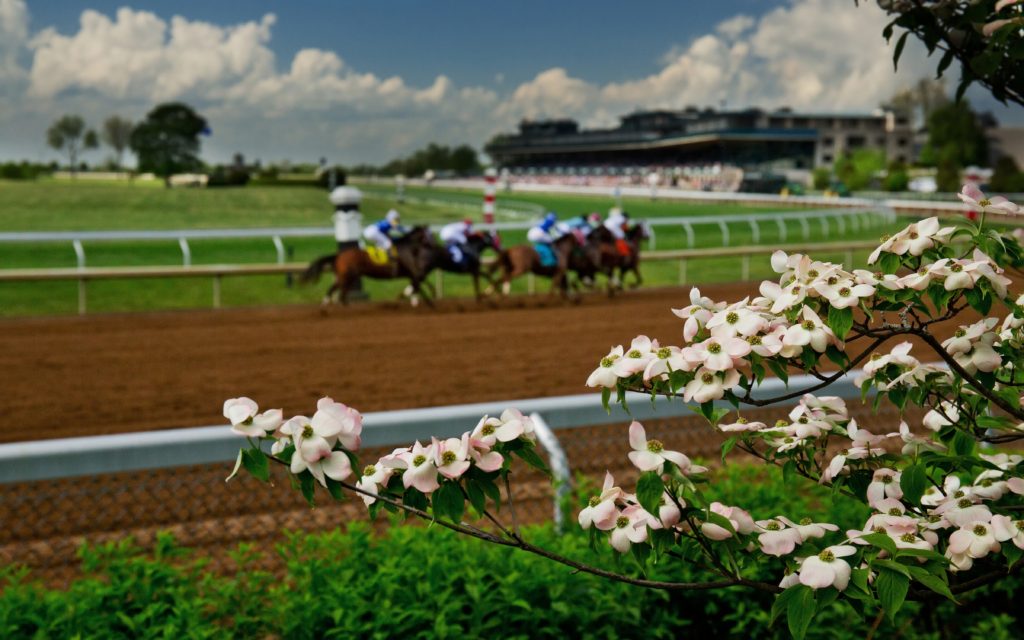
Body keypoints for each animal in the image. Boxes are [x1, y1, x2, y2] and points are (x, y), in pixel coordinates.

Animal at [299, 226, 436, 305]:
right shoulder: (412, 272)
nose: (435, 245)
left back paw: (325, 308)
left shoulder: (411, 273)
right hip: (348, 276)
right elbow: (419, 284)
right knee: (340, 294)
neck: (407, 248)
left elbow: (419, 284)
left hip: (344, 277)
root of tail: (338, 255)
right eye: (430, 235)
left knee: (334, 290)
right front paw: (429, 301)